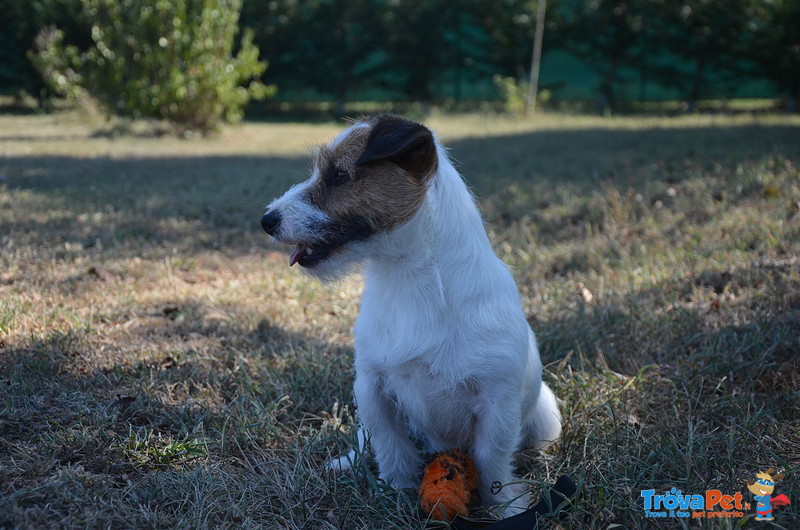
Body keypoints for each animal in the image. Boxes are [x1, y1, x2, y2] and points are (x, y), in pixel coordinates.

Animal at [262, 114, 564, 512]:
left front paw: (504, 506)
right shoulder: (372, 388)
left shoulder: (497, 403)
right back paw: (347, 462)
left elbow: (492, 460)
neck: (409, 278)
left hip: (545, 416)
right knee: (366, 440)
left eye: (339, 175)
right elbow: (391, 447)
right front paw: (395, 491)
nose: (266, 220)